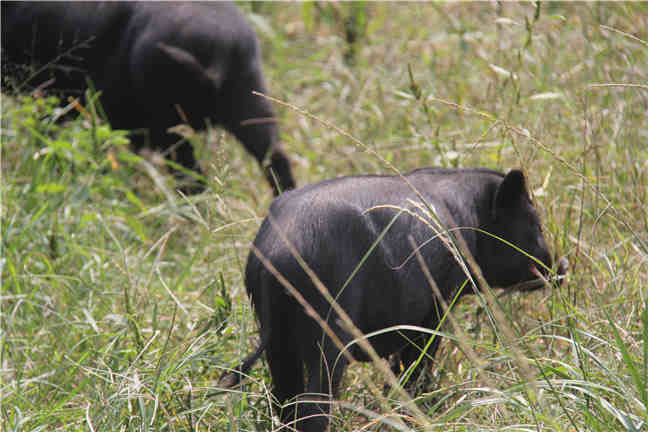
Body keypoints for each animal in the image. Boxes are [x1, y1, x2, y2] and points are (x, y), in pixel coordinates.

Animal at [221, 166, 568, 432]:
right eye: (535, 223)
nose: (561, 267)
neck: (470, 221)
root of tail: (276, 253)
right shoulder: (439, 302)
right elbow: (418, 359)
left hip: (275, 337)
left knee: (284, 396)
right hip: (329, 327)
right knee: (313, 404)